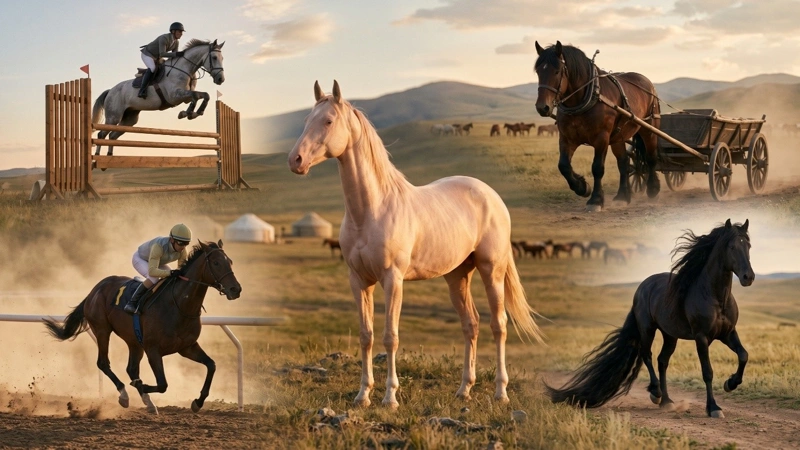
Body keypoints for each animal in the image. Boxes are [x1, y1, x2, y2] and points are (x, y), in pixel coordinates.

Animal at [43, 241, 241, 414]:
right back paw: (125, 395)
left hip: (134, 341)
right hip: (102, 330)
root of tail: (96, 289)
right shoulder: (153, 350)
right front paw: (140, 385)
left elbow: (211, 365)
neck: (179, 305)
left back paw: (148, 402)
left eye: (230, 261)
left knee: (131, 368)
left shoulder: (187, 347)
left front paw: (198, 402)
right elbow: (163, 384)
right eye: (216, 263)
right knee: (103, 363)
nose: (236, 289)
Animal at [92, 39, 226, 156]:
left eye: (222, 58)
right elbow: (196, 96)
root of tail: (110, 91)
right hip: (114, 116)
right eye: (214, 57)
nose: (221, 79)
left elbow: (203, 95)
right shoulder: (175, 96)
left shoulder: (185, 97)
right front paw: (187, 113)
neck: (184, 69)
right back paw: (98, 156)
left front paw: (194, 113)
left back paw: (109, 156)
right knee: (102, 134)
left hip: (130, 119)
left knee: (112, 135)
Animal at [288, 80, 544, 409]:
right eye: (307, 120)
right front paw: (363, 395)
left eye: (329, 121)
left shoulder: (393, 280)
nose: (295, 160)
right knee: (470, 324)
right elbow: (366, 335)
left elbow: (390, 336)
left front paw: (390, 397)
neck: (371, 209)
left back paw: (501, 392)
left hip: (492, 270)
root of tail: (491, 195)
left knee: (498, 325)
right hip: (457, 276)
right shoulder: (359, 280)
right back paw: (464, 389)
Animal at [534, 41, 661, 211]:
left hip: (649, 129)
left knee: (651, 157)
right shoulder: (567, 138)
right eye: (538, 71)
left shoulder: (602, 138)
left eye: (557, 71)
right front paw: (582, 187)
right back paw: (622, 196)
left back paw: (653, 189)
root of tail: (648, 83)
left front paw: (596, 200)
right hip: (618, 137)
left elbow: (597, 168)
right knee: (624, 163)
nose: (543, 107)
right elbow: (563, 166)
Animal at [546, 220, 754, 418]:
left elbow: (743, 355)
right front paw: (713, 408)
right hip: (647, 329)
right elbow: (708, 372)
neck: (715, 298)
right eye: (732, 247)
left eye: (748, 246)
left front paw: (730, 383)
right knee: (647, 355)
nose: (748, 277)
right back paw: (656, 393)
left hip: (670, 335)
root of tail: (642, 287)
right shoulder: (701, 338)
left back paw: (667, 401)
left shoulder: (728, 333)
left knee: (662, 361)